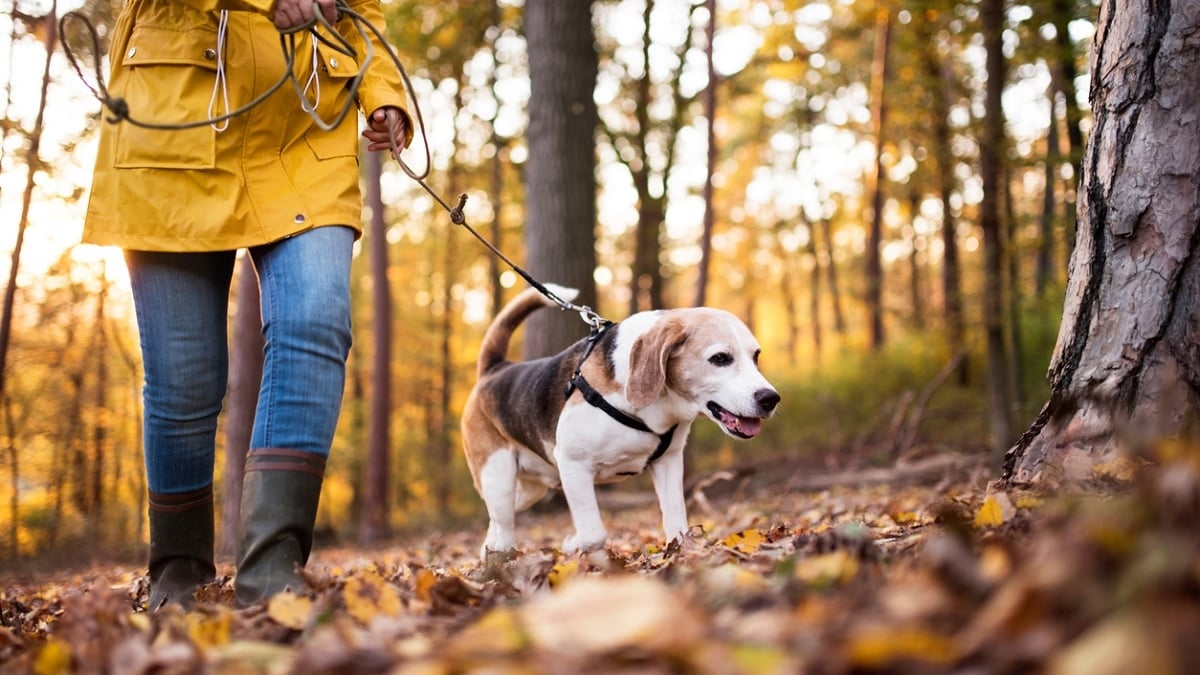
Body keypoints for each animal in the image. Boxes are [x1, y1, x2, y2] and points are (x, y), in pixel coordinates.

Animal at [458, 283, 777, 557]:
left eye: (756, 356)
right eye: (720, 358)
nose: (770, 398)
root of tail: (495, 369)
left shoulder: (669, 463)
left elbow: (677, 524)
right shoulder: (574, 465)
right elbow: (593, 534)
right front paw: (578, 548)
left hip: (528, 490)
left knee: (496, 524)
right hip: (498, 476)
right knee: (503, 524)